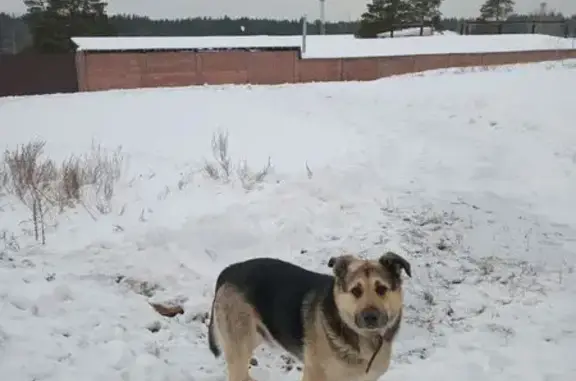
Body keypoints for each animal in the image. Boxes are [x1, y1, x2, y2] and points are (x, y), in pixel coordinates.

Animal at [206, 252, 410, 380]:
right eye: (356, 291)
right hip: (240, 345)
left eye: (381, 289)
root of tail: (229, 270)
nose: (370, 317)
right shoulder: (315, 374)